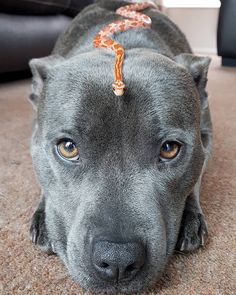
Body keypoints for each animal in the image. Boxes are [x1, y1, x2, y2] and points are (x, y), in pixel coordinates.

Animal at [28, 1, 213, 294]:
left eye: (169, 149)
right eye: (68, 148)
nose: (117, 260)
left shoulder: (205, 137)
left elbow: (195, 179)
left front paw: (191, 216)